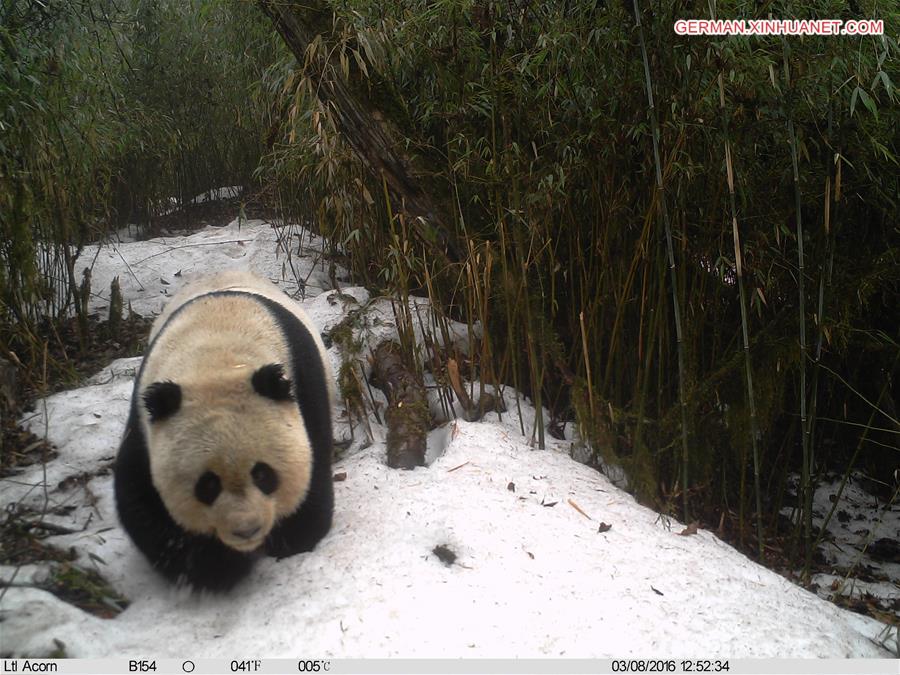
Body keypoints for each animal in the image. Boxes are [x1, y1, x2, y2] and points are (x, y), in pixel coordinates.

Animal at [115, 270, 334, 592]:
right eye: (207, 485)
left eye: (263, 474)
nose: (247, 530)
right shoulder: (145, 424)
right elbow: (143, 503)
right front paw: (220, 566)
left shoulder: (304, 385)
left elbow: (312, 469)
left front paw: (291, 539)